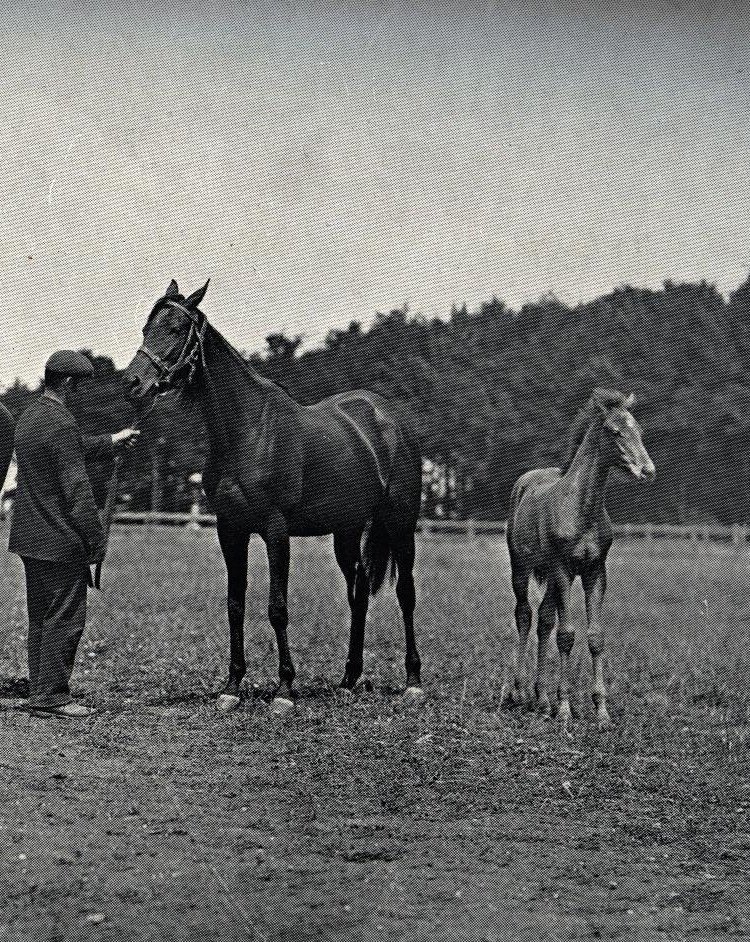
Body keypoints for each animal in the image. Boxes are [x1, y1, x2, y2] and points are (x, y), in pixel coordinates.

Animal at [123, 282, 424, 716]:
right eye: (147, 327)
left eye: (177, 328)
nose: (132, 383)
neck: (248, 431)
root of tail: (390, 420)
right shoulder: (231, 530)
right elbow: (235, 604)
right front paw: (231, 686)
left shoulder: (275, 530)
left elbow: (277, 608)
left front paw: (284, 690)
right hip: (346, 531)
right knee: (359, 593)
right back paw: (349, 679)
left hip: (400, 523)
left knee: (406, 594)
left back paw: (413, 682)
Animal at [502, 390, 656, 732]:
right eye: (615, 431)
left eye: (639, 430)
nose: (648, 471)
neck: (581, 507)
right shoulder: (562, 568)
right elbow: (566, 635)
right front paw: (564, 709)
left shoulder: (594, 570)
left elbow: (595, 637)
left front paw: (601, 712)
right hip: (522, 566)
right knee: (525, 615)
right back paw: (518, 694)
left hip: (554, 576)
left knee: (544, 619)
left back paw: (541, 699)